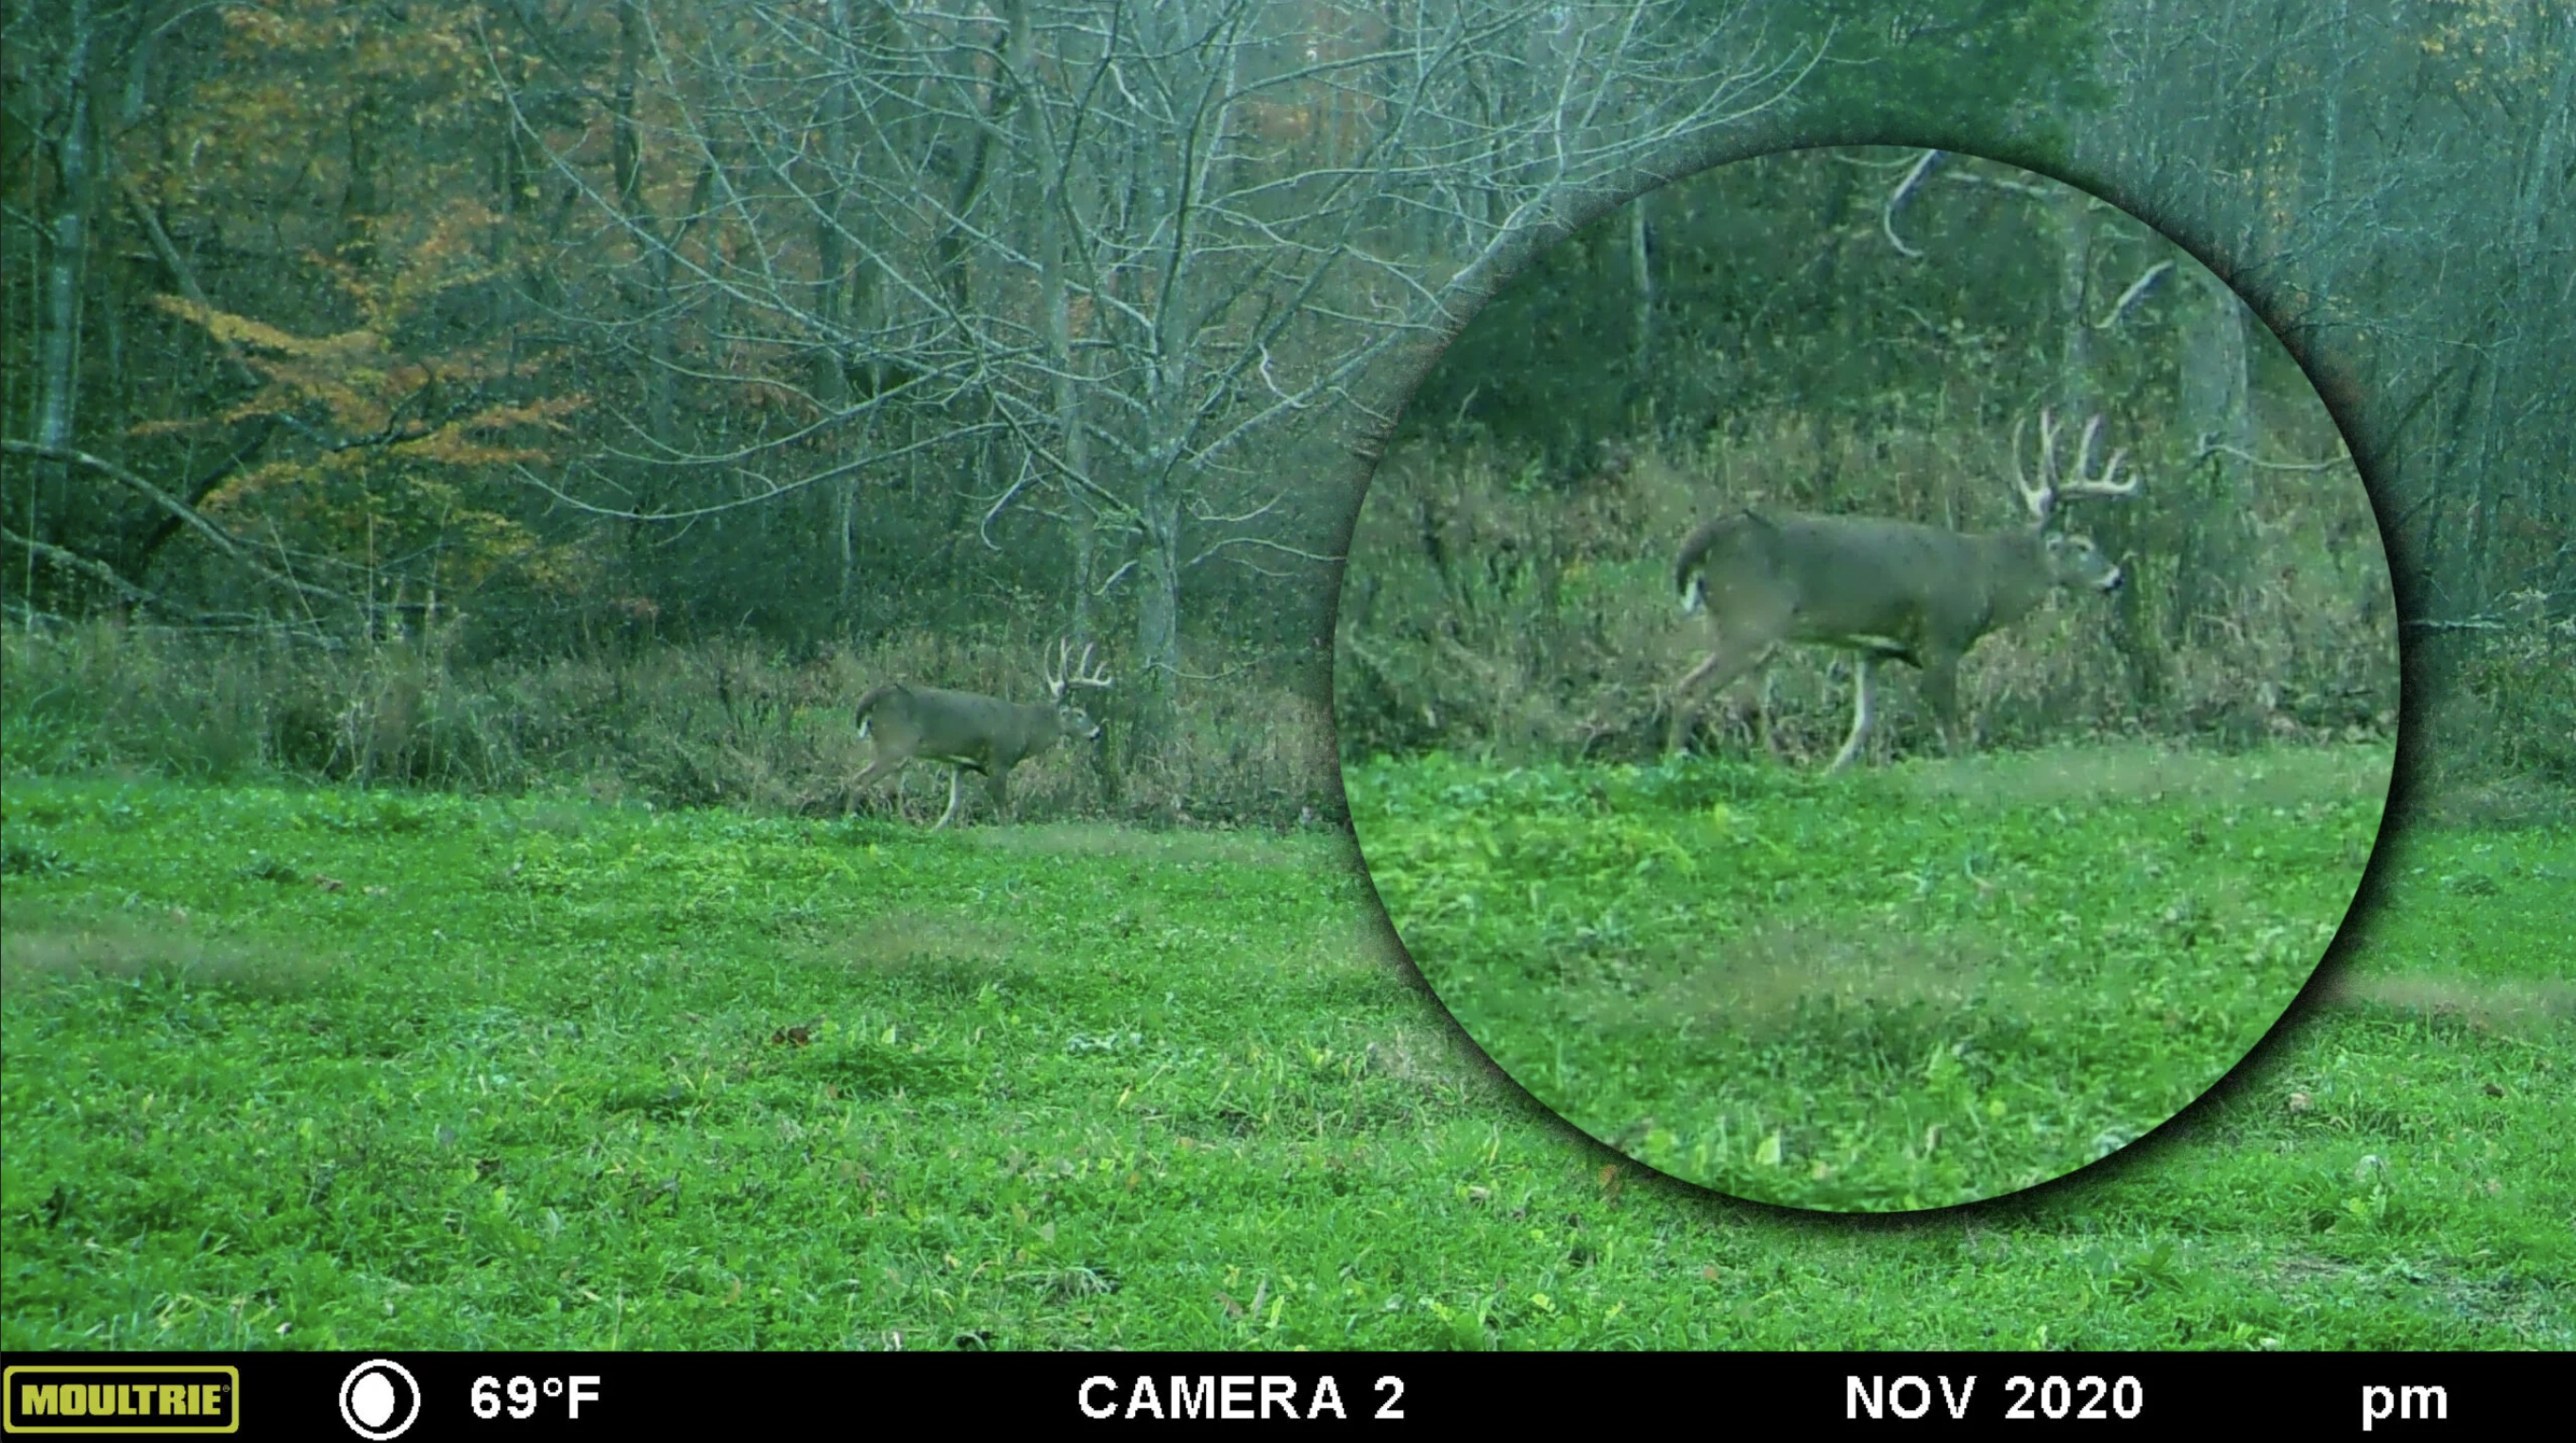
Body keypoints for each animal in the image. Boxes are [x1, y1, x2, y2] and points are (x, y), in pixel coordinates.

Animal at [850, 638, 1112, 829]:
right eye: (1079, 713)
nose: (1097, 732)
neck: (1026, 730)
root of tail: (870, 700)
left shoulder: (961, 764)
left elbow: (953, 804)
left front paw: (934, 831)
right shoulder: (999, 760)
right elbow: (1001, 807)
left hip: (900, 753)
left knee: (893, 791)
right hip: (895, 743)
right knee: (859, 780)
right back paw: (848, 821)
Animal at [1658, 412, 2143, 772]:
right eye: (2083, 546)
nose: (2116, 577)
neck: (1987, 579)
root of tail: (1700, 544)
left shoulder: (1871, 650)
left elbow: (1863, 724)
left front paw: (1832, 774)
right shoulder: (1940, 637)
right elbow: (1950, 726)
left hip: (1761, 634)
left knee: (1753, 704)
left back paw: (1778, 772)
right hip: (1749, 617)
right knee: (1690, 689)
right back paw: (1671, 766)